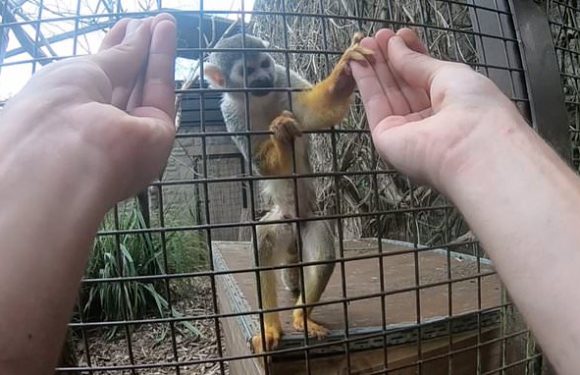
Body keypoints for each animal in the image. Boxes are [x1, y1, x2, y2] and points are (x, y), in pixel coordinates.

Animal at [204, 30, 374, 354]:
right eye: (248, 71)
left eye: (265, 63)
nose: (264, 78)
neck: (257, 99)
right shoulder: (229, 113)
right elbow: (259, 161)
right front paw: (281, 138)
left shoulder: (283, 77)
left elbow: (313, 113)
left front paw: (343, 75)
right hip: (282, 220)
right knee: (262, 247)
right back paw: (271, 326)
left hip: (308, 220)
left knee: (323, 256)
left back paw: (301, 316)